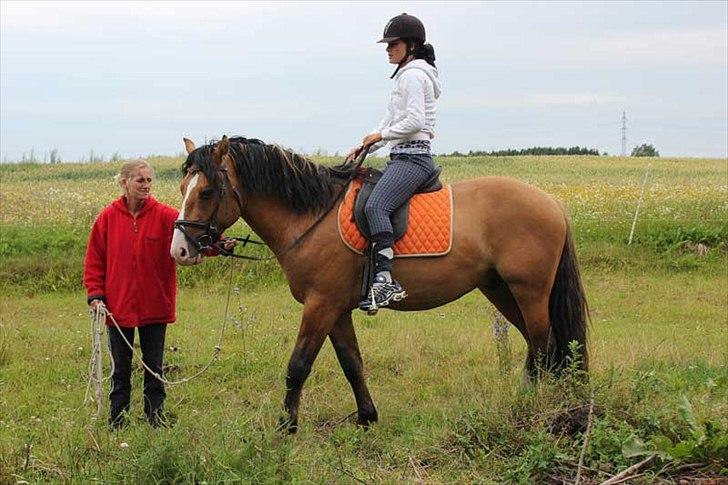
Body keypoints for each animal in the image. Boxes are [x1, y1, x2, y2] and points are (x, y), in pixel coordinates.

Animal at [172, 135, 592, 432]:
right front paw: (366, 417)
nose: (180, 249)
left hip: (529, 291)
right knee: (546, 345)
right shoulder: (336, 308)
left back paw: (531, 404)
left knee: (542, 344)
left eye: (206, 192)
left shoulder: (320, 305)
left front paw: (285, 428)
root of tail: (553, 203)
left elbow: (299, 365)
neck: (312, 215)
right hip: (501, 290)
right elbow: (351, 362)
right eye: (182, 189)